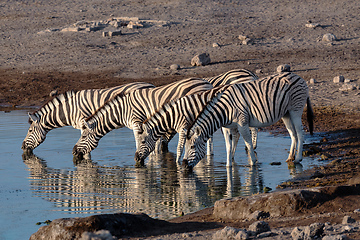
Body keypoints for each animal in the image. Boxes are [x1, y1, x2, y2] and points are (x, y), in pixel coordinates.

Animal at [71, 77, 215, 163]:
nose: (73, 151)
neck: (122, 110)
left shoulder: (137, 122)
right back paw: (209, 156)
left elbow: (139, 140)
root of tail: (207, 83)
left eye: (83, 136)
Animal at [183, 72, 312, 170]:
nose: (184, 166)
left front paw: (253, 162)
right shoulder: (227, 127)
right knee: (293, 133)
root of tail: (298, 76)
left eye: (192, 147)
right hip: (286, 113)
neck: (224, 110)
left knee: (300, 133)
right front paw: (228, 166)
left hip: (296, 110)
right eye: (186, 147)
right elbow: (228, 146)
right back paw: (290, 157)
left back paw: (298, 158)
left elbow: (248, 143)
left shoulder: (242, 123)